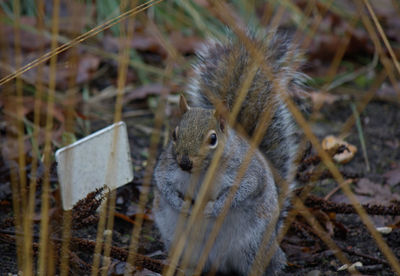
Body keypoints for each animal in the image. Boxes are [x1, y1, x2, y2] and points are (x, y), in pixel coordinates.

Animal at [152, 28, 304, 276]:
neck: (201, 173)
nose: (184, 162)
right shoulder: (165, 167)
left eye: (213, 139)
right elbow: (163, 185)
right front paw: (181, 205)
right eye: (174, 134)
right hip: (181, 246)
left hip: (253, 246)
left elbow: (241, 191)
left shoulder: (247, 172)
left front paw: (211, 208)